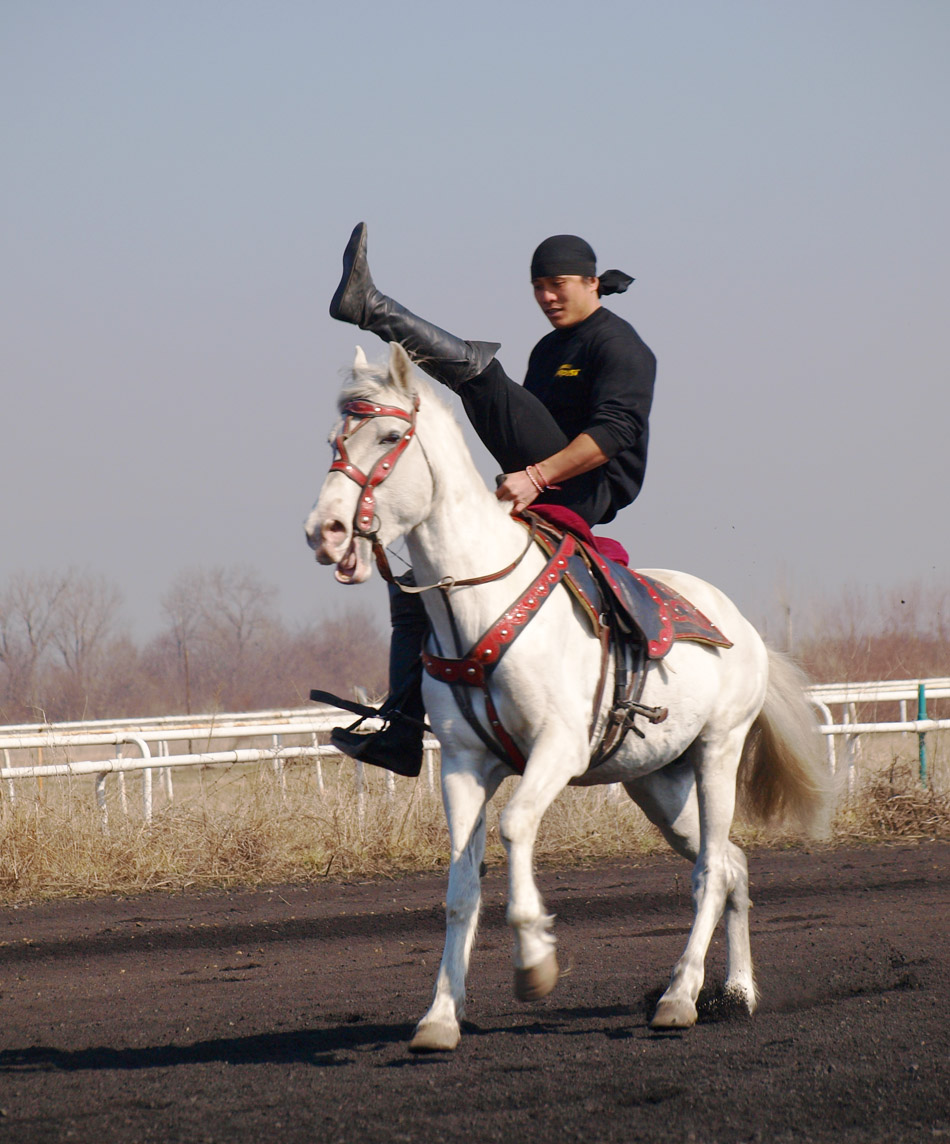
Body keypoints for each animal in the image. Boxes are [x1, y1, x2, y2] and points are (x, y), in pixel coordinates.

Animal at [305, 342, 828, 1052]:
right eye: (335, 440)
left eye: (389, 437)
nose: (325, 531)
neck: (480, 602)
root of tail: (743, 627)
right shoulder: (464, 764)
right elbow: (460, 885)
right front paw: (440, 1016)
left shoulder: (557, 749)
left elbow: (515, 826)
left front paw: (535, 963)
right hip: (657, 784)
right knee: (733, 865)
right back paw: (737, 992)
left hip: (718, 753)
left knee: (711, 874)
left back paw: (680, 997)